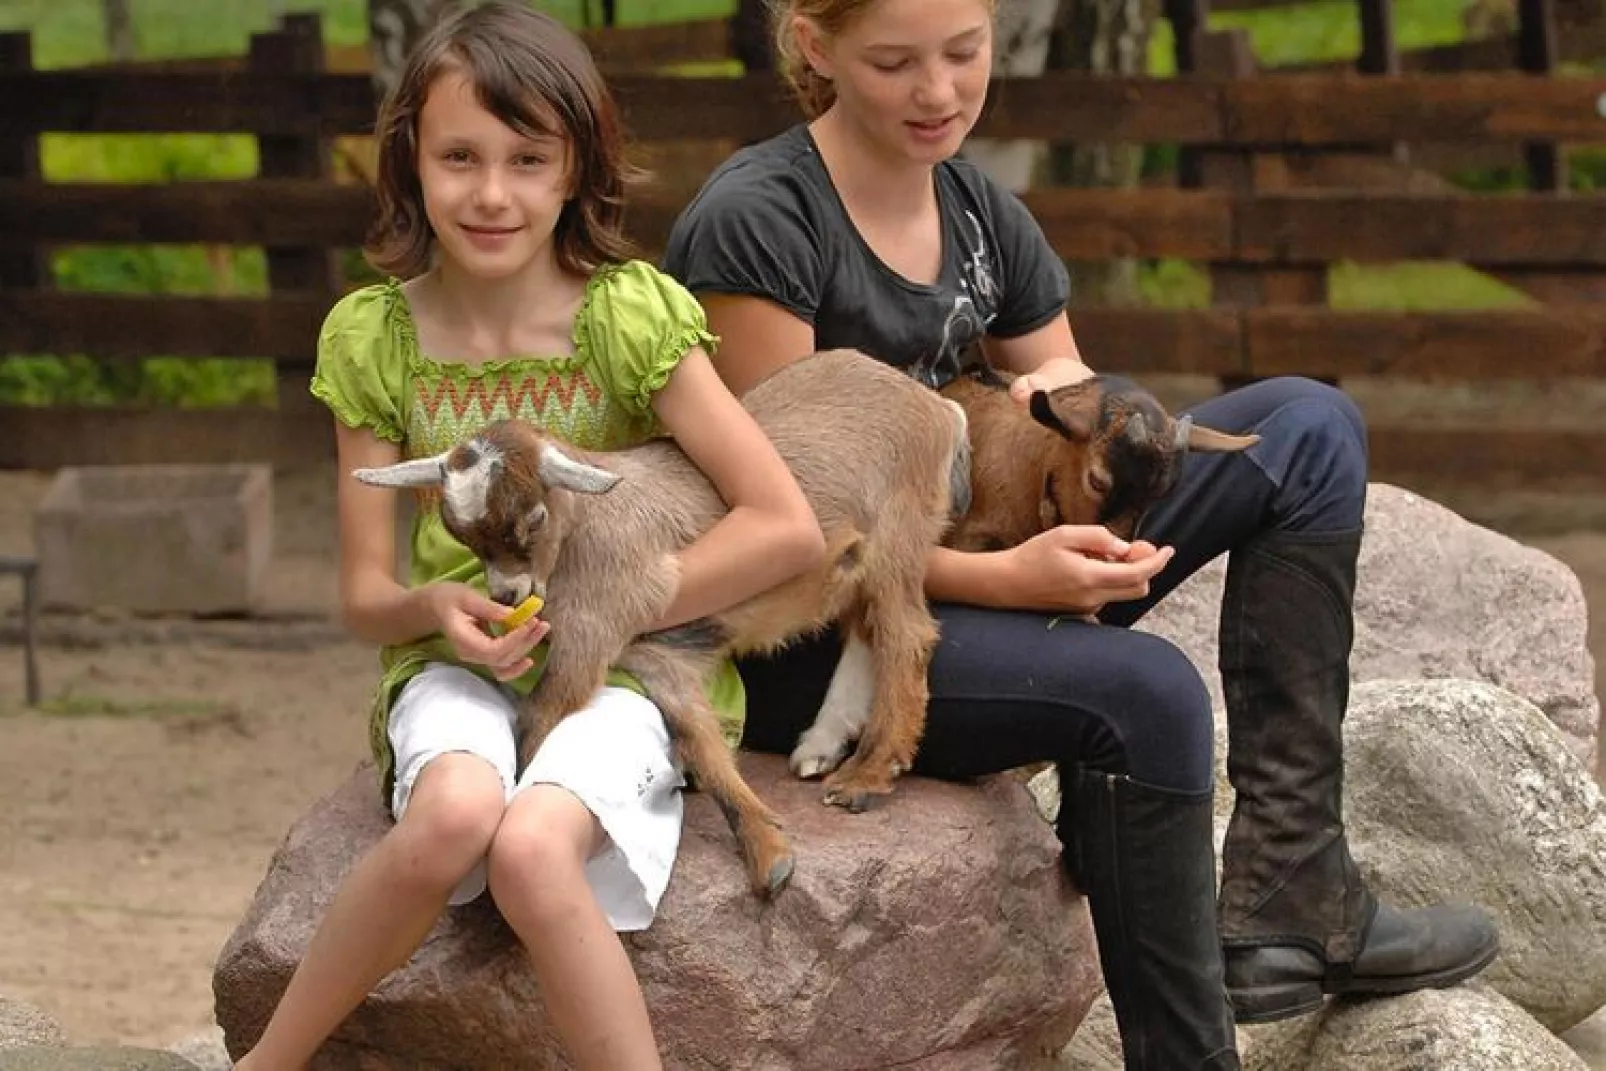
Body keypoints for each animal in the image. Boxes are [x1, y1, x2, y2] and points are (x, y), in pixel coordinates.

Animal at [354, 350, 963, 899]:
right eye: (463, 537)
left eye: (534, 519)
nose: (508, 595)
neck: (586, 526)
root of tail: (938, 407)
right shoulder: (655, 657)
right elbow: (701, 744)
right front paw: (771, 855)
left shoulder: (594, 629)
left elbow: (537, 720)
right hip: (857, 562)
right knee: (867, 631)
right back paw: (823, 746)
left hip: (898, 535)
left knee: (908, 636)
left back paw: (866, 776)